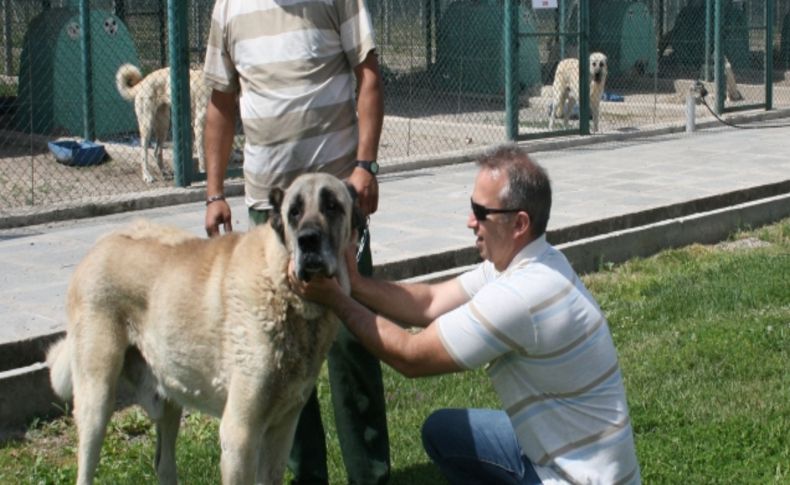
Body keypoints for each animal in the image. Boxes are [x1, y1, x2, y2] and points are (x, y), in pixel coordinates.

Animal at [46, 172, 362, 482]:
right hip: (97, 398)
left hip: (169, 390)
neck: (280, 286)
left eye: (332, 206)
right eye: (294, 212)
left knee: (163, 464)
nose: (308, 241)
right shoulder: (240, 435)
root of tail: (98, 245)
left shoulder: (282, 430)